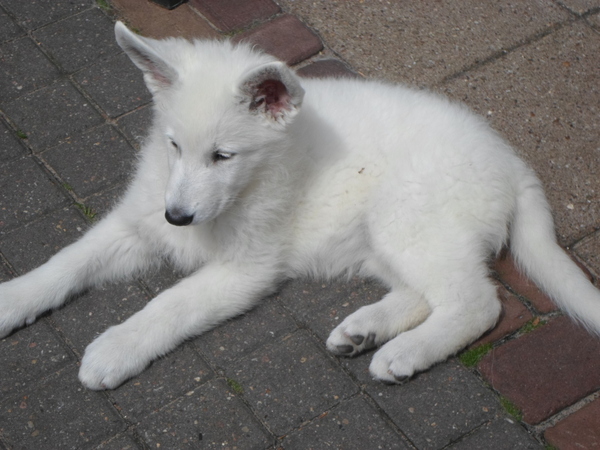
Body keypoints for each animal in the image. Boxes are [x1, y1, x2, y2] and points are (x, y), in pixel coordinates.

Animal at [1, 22, 600, 390]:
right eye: (172, 145)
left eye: (223, 156)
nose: (178, 217)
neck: (248, 186)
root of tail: (513, 162)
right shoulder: (136, 222)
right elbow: (66, 262)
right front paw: (13, 299)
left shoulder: (246, 269)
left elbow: (171, 304)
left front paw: (117, 347)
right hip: (388, 237)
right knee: (429, 291)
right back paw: (367, 330)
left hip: (405, 216)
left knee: (478, 302)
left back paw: (405, 352)